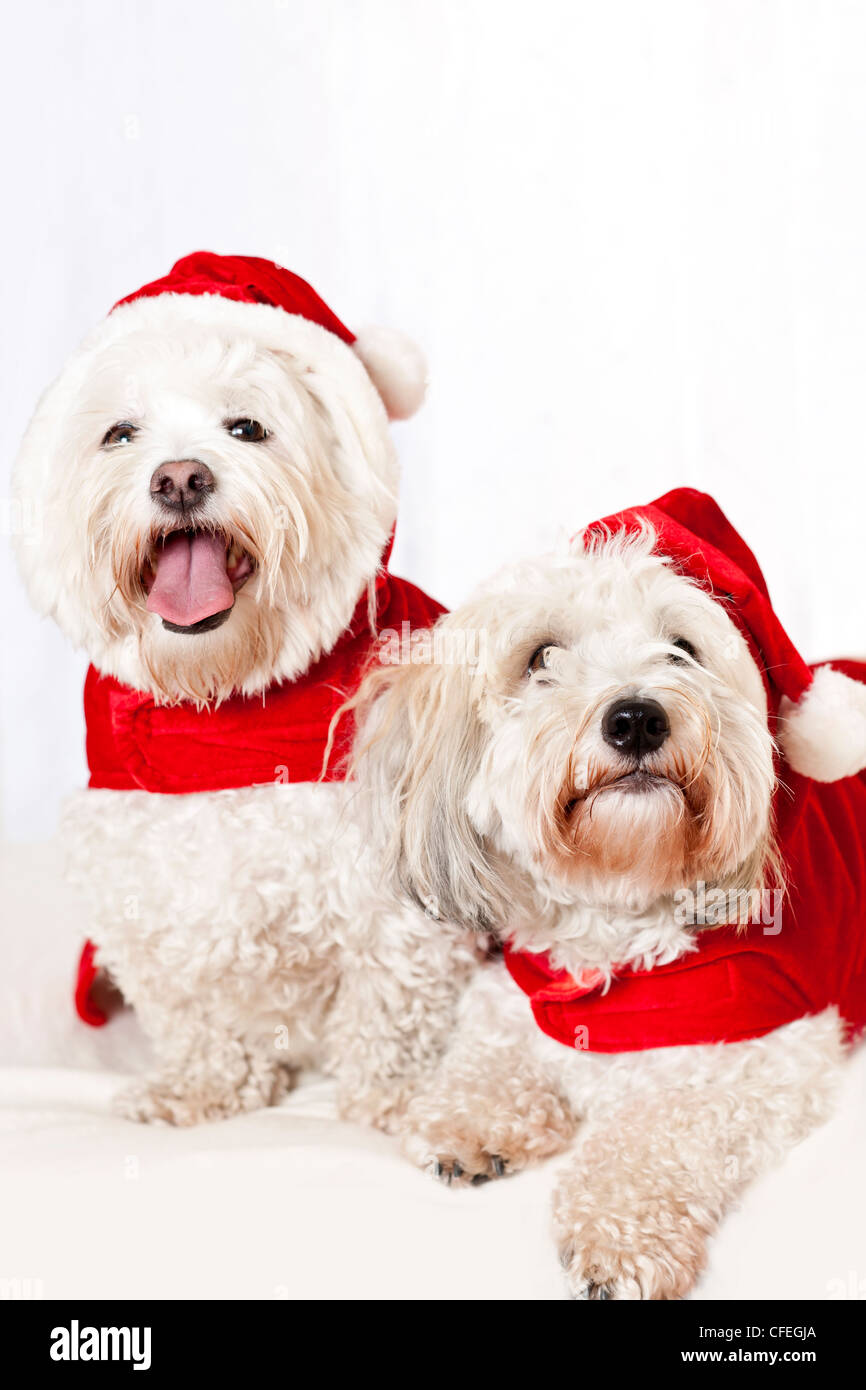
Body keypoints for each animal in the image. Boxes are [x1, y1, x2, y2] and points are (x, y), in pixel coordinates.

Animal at [11, 255, 475, 1128]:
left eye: (247, 428)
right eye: (120, 434)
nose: (179, 478)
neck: (221, 716)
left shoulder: (397, 909)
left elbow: (390, 1007)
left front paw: (389, 1096)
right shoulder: (147, 894)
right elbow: (192, 1012)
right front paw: (203, 1084)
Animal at [353, 492, 866, 1301]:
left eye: (682, 648)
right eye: (541, 657)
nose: (636, 718)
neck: (615, 916)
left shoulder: (765, 1057)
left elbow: (657, 1134)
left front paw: (621, 1238)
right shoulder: (518, 992)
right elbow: (488, 1053)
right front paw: (473, 1120)